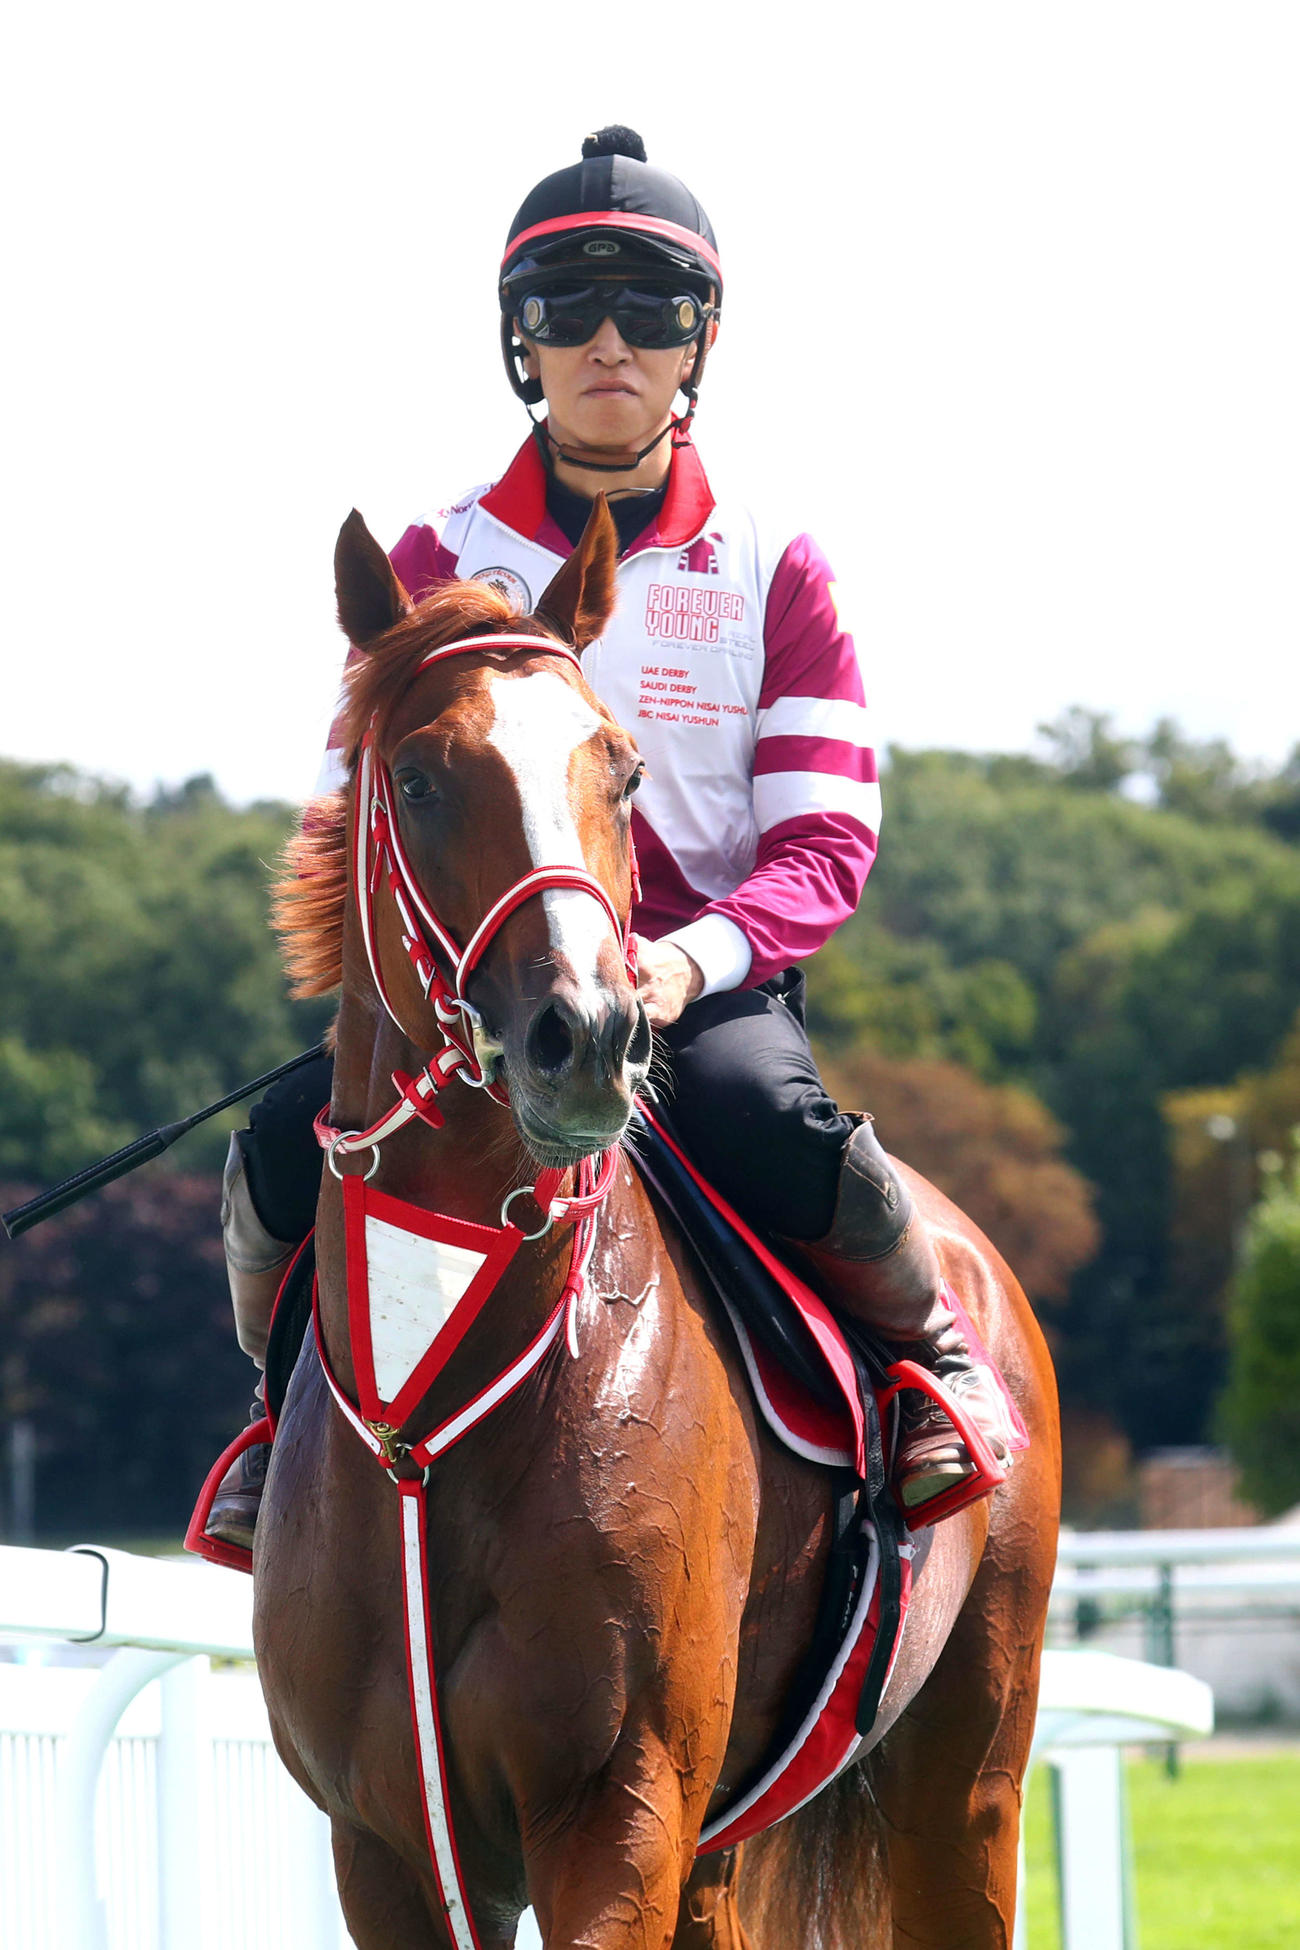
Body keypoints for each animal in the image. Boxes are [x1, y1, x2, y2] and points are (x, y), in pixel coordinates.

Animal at [253, 498, 1061, 1950]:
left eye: (622, 770)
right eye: (419, 779)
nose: (587, 1033)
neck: (433, 1419)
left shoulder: (615, 1808)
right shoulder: (385, 1843)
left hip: (964, 1781)